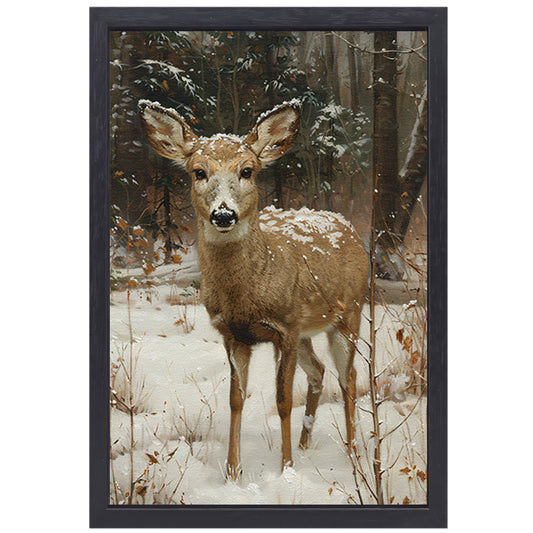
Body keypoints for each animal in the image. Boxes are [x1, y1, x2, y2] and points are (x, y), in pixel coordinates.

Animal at [139, 98, 368, 478]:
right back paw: (306, 445)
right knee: (319, 372)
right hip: (307, 331)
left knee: (348, 377)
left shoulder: (285, 327)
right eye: (198, 172)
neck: (247, 297)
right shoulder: (235, 333)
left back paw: (351, 452)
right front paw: (233, 472)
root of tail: (346, 225)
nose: (223, 215)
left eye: (247, 170)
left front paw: (286, 469)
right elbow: (235, 400)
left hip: (350, 312)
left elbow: (283, 400)